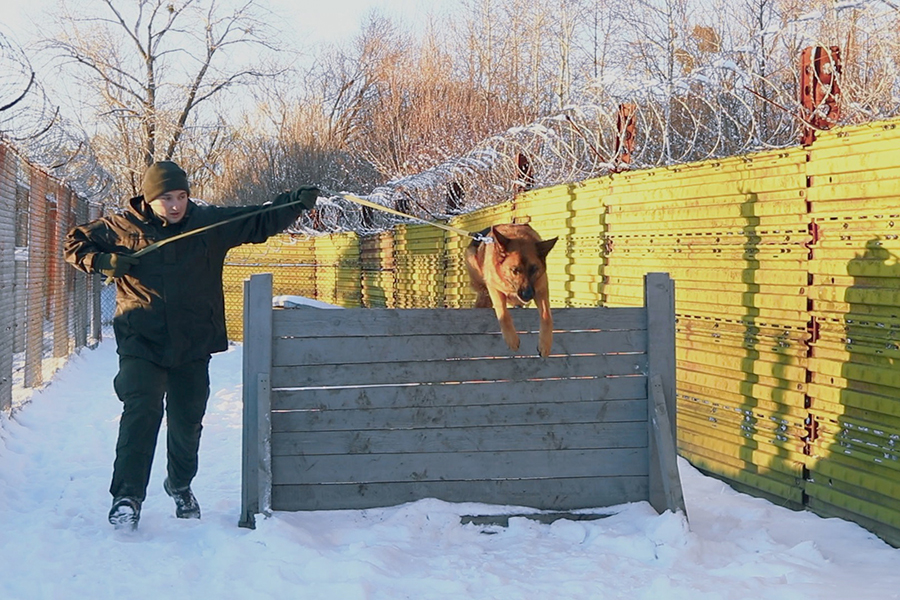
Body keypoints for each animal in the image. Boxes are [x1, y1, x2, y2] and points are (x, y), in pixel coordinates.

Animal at [468, 224, 560, 356]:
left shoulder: (541, 289)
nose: (528, 295)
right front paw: (511, 339)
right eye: (515, 270)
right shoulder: (494, 288)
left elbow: (547, 316)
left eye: (534, 269)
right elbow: (503, 314)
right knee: (483, 293)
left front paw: (545, 345)